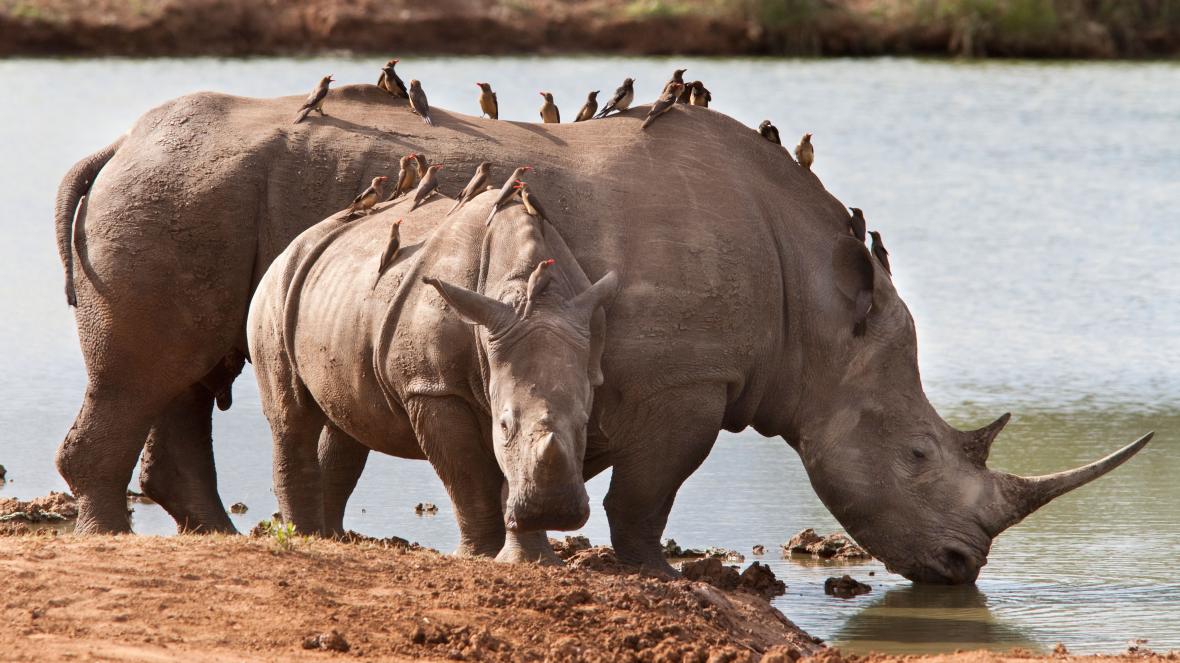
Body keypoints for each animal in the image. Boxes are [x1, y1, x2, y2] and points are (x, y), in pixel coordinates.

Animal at [247, 196, 618, 561]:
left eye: (584, 424)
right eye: (504, 426)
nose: (554, 512)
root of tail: (298, 241)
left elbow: (507, 475)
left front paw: (529, 560)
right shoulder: (432, 387)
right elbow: (467, 475)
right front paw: (479, 556)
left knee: (348, 420)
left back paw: (330, 538)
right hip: (276, 289)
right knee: (292, 417)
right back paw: (303, 536)